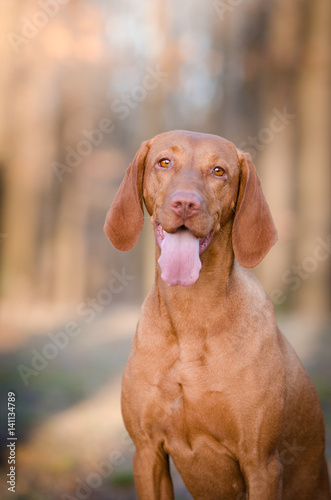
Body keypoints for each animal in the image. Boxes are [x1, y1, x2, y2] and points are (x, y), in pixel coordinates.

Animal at [104, 131, 331, 498]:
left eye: (218, 171)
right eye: (163, 162)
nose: (185, 204)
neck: (191, 317)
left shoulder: (261, 463)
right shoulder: (147, 452)